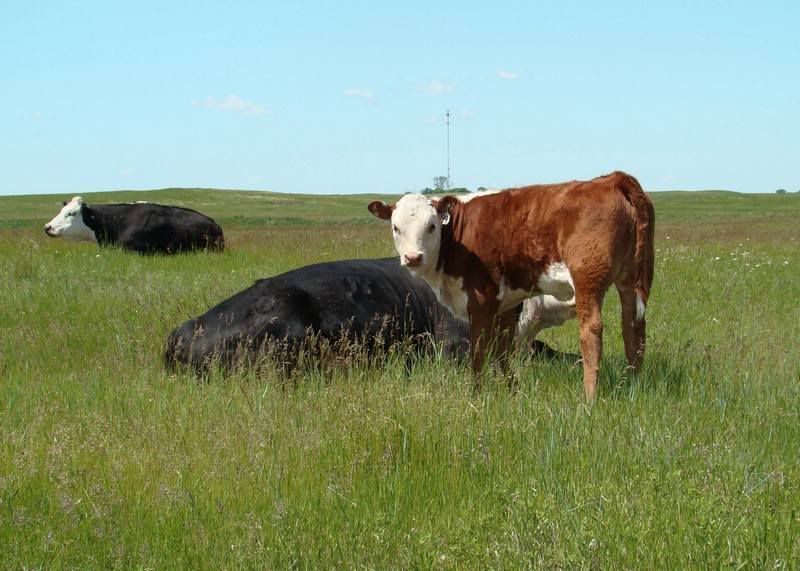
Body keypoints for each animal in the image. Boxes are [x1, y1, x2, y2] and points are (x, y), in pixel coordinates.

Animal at [368, 171, 655, 400]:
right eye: (396, 228)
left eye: (431, 226)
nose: (413, 257)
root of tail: (611, 179)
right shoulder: (507, 304)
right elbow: (502, 350)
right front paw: (510, 391)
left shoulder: (480, 298)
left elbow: (479, 350)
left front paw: (476, 394)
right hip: (632, 279)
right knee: (633, 328)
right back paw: (633, 384)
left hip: (588, 280)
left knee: (592, 332)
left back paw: (589, 397)